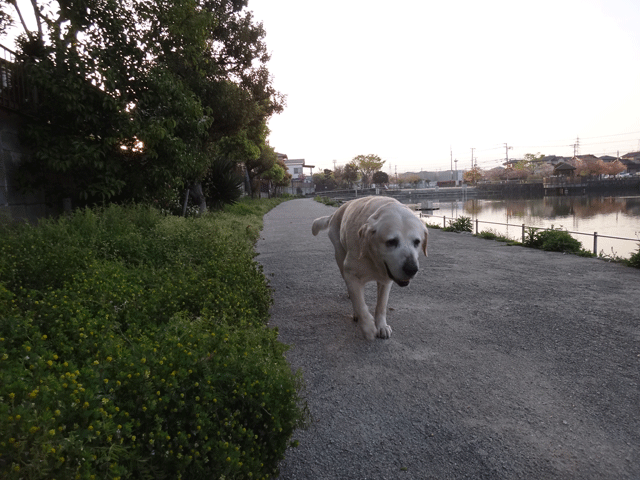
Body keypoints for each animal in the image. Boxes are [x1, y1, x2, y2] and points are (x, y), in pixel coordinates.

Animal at [312, 196, 428, 342]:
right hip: (340, 256)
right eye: (391, 242)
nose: (412, 269)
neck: (373, 257)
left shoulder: (386, 281)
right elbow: (360, 304)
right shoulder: (351, 275)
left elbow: (381, 305)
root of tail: (336, 212)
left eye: (417, 242)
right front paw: (368, 326)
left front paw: (382, 326)